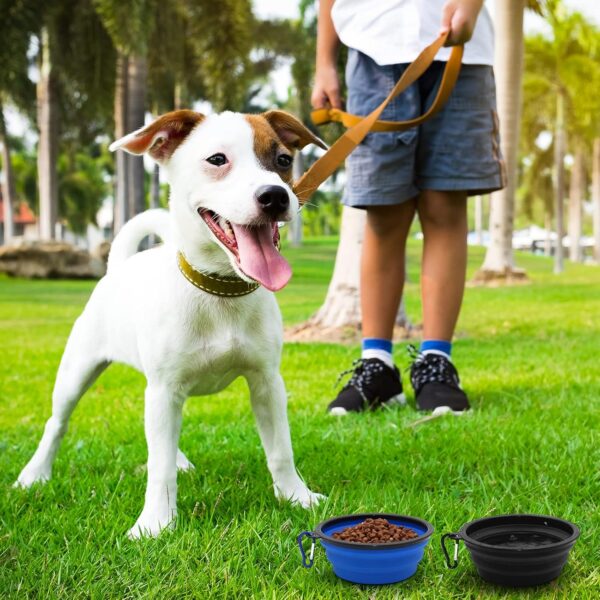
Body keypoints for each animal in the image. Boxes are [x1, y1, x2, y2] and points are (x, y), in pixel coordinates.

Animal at [15, 108, 328, 540]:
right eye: (217, 159)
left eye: (283, 160)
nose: (276, 196)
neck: (220, 291)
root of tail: (118, 267)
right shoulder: (164, 389)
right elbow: (158, 467)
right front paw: (156, 523)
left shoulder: (267, 383)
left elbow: (281, 449)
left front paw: (296, 497)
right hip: (78, 372)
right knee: (57, 424)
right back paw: (35, 473)